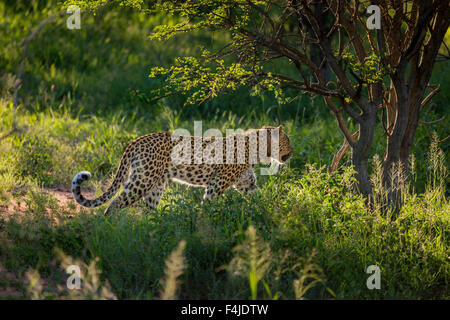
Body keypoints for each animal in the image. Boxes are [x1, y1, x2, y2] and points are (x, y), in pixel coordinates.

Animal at [72, 125, 294, 215]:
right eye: (287, 140)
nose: (292, 152)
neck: (258, 151)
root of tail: (137, 140)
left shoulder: (247, 183)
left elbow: (259, 199)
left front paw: (274, 214)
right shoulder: (217, 183)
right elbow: (208, 204)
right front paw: (203, 225)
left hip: (154, 185)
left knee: (149, 209)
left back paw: (152, 229)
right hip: (143, 180)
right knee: (115, 203)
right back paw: (110, 227)